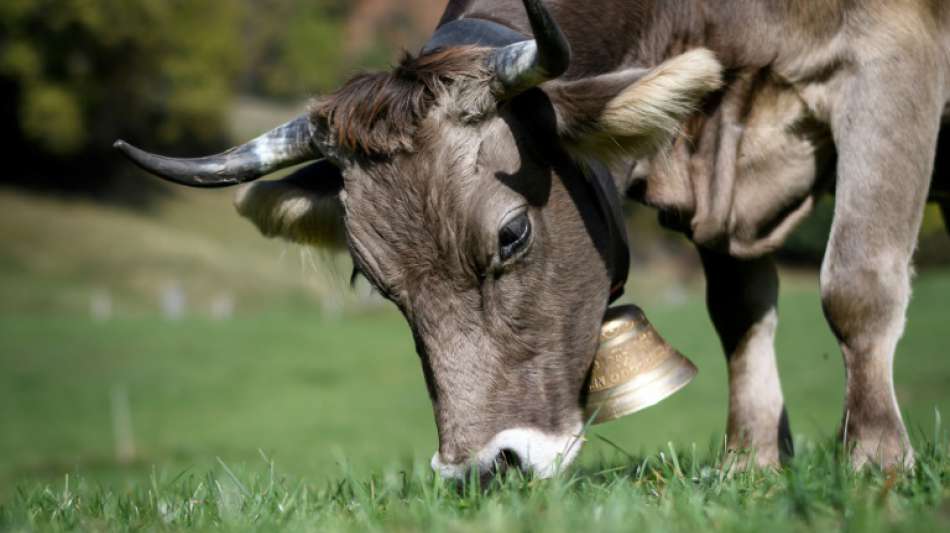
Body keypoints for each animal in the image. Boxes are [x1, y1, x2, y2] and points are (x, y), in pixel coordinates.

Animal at [113, 1, 950, 478]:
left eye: (512, 234)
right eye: (376, 282)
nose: (486, 469)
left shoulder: (893, 54)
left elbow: (855, 283)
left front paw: (876, 462)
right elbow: (741, 314)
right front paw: (751, 466)